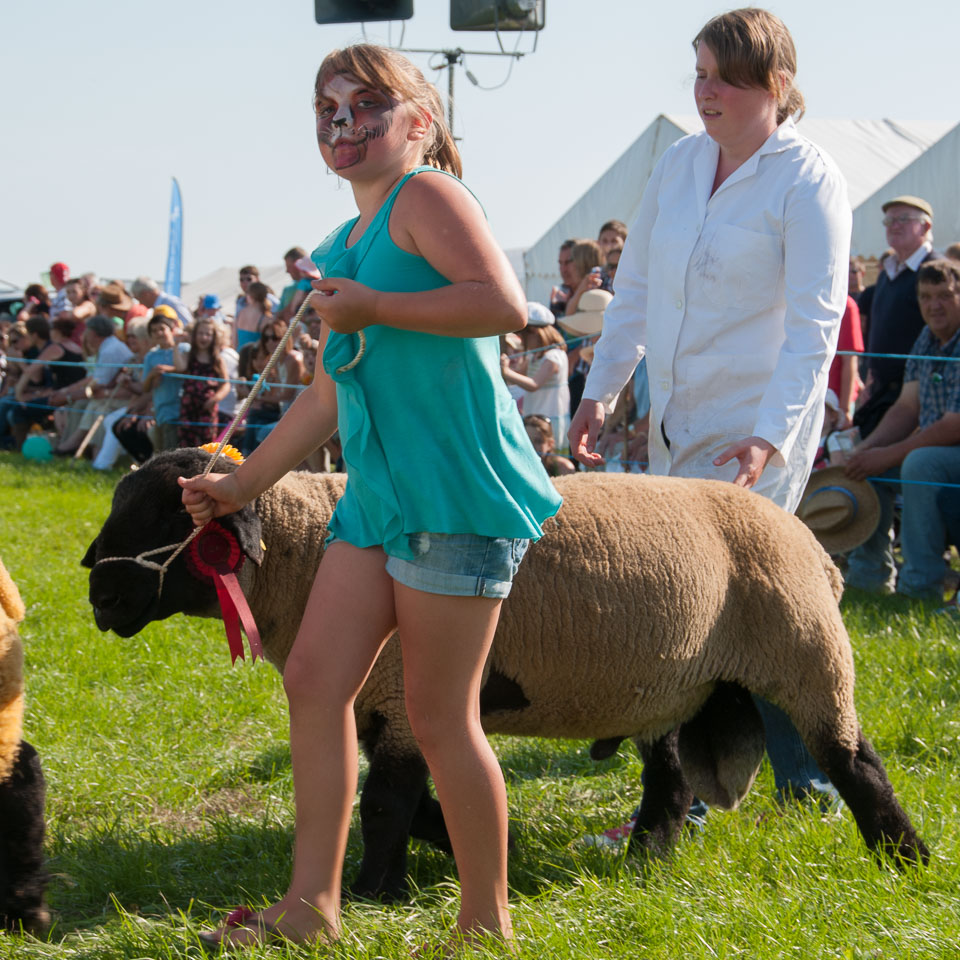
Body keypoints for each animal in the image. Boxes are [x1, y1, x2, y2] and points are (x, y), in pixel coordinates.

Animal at [84, 450, 928, 900]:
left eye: (173, 515)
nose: (97, 594)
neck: (307, 552)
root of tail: (810, 540)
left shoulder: (401, 686)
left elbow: (385, 803)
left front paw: (372, 892)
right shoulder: (381, 698)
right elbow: (410, 801)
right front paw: (487, 848)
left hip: (806, 653)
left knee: (855, 762)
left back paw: (905, 860)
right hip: (670, 682)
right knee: (670, 780)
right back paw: (645, 860)